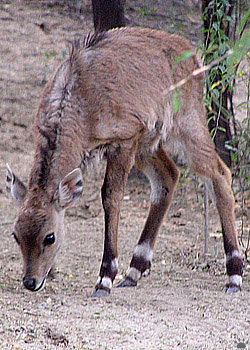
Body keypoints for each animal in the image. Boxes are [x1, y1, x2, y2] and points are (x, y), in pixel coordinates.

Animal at [6, 27, 243, 296]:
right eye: (16, 235)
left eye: (50, 237)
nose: (31, 281)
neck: (78, 100)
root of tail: (192, 56)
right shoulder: (131, 140)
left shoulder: (124, 139)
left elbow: (111, 196)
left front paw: (104, 278)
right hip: (149, 143)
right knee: (169, 176)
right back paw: (134, 270)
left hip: (185, 126)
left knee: (219, 172)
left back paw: (234, 274)